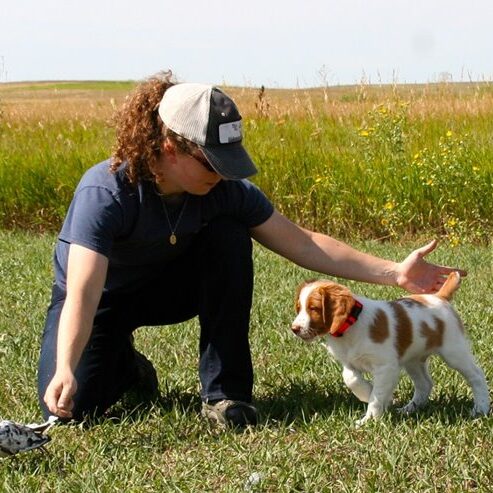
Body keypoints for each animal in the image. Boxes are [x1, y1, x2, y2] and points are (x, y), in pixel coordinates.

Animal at [292, 270, 488, 424]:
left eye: (314, 308)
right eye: (299, 308)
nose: (294, 329)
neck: (350, 326)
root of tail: (439, 296)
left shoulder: (386, 367)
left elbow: (377, 396)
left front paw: (370, 419)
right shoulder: (349, 362)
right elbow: (350, 378)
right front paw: (367, 394)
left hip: (454, 351)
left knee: (477, 376)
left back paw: (481, 409)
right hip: (413, 360)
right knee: (424, 384)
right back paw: (409, 409)